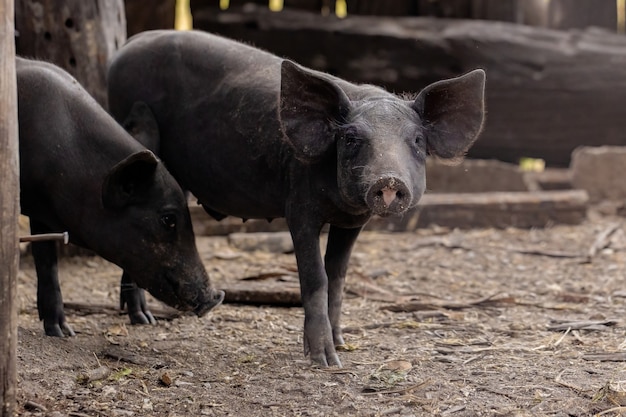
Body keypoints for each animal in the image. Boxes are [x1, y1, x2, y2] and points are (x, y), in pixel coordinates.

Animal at [17, 57, 224, 336]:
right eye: (168, 219)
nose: (216, 298)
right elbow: (47, 262)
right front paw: (63, 333)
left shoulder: (43, 214)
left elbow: (47, 262)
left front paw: (145, 320)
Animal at [107, 30, 486, 366]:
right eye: (351, 138)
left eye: (418, 140)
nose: (388, 179)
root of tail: (127, 46)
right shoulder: (299, 207)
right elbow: (315, 277)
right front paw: (325, 361)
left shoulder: (353, 221)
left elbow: (338, 275)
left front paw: (341, 344)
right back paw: (143, 320)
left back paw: (142, 318)